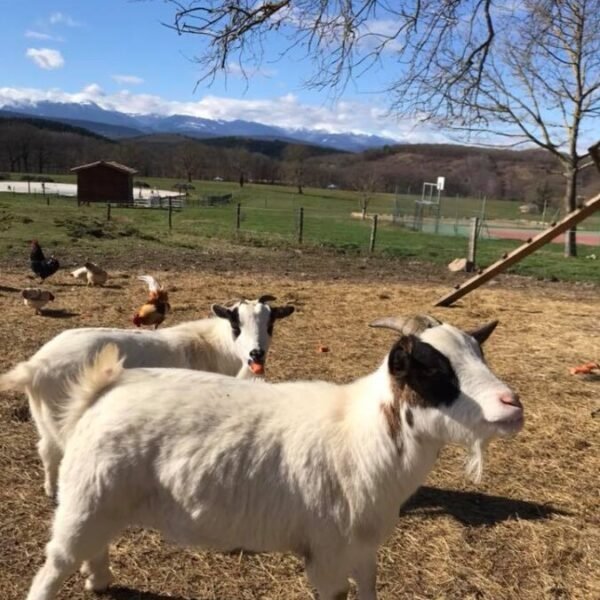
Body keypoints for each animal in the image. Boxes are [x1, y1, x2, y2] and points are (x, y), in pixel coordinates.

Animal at [0, 296, 294, 496]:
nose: (257, 354)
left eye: (271, 324)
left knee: (46, 450)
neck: (211, 346)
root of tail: (36, 367)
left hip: (46, 416)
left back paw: (51, 489)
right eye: (236, 324)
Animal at [25, 316, 524, 596]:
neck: (362, 432)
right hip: (85, 500)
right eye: (432, 369)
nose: (512, 405)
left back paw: (100, 582)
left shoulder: (364, 552)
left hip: (101, 504)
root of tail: (103, 391)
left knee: (94, 548)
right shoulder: (327, 557)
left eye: (479, 353)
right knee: (53, 568)